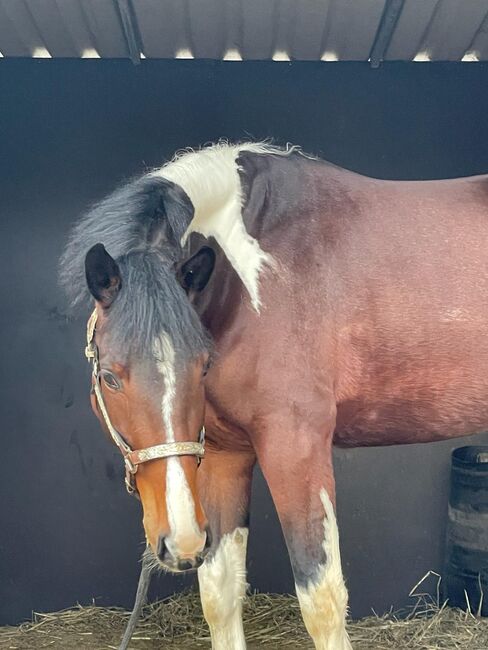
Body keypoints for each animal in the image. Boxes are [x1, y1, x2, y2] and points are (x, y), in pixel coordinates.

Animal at [59, 143, 488, 648]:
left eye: (202, 366)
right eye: (110, 377)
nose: (181, 541)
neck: (251, 280)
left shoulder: (296, 448)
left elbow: (321, 601)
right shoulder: (224, 455)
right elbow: (220, 592)